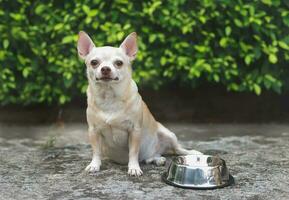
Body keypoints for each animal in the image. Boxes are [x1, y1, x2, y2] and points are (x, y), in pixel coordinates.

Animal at [77, 31, 201, 177]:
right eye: (94, 62)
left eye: (119, 63)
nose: (105, 69)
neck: (109, 97)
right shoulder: (94, 131)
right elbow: (96, 151)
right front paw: (94, 165)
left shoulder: (134, 131)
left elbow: (133, 152)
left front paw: (134, 168)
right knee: (152, 156)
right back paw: (157, 159)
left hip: (169, 134)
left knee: (178, 149)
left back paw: (192, 153)